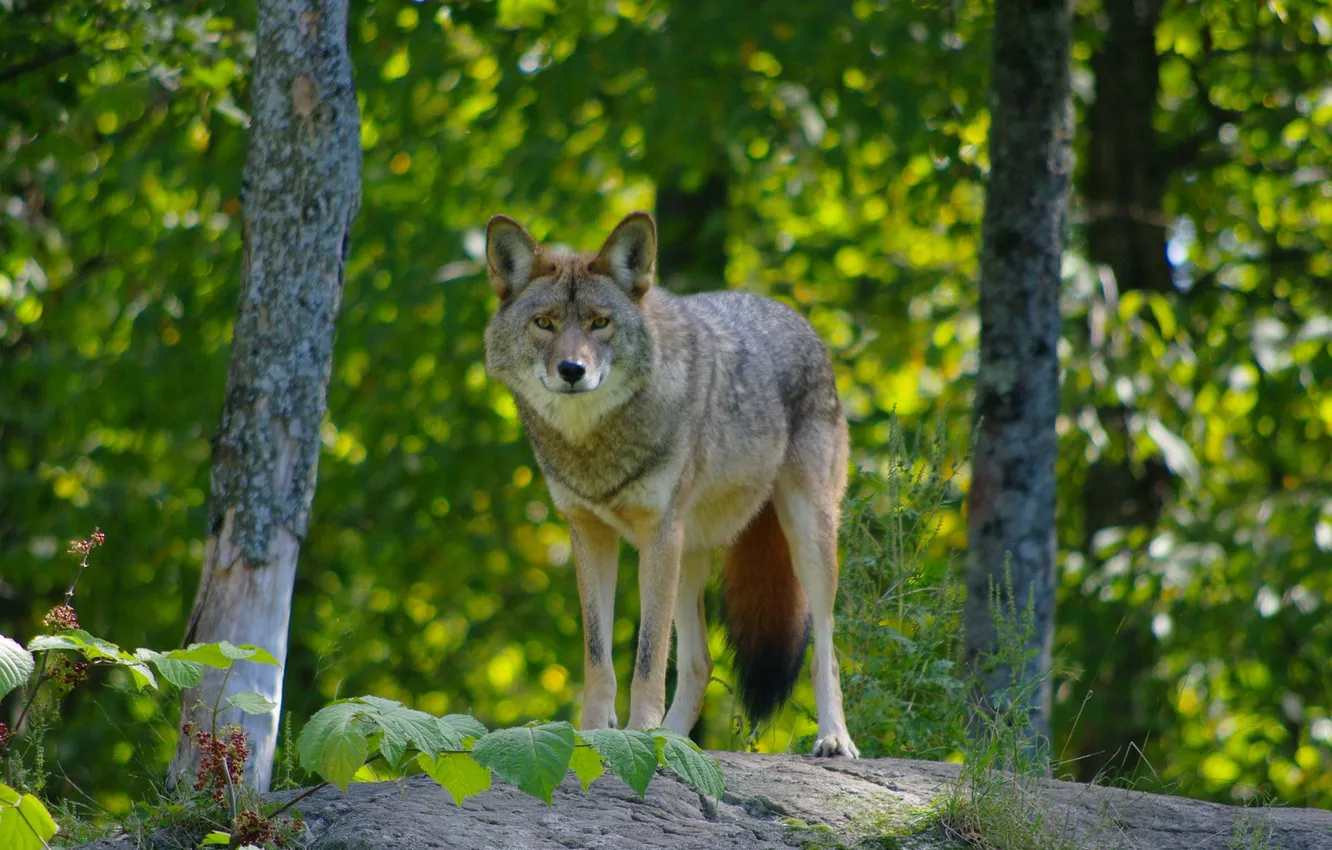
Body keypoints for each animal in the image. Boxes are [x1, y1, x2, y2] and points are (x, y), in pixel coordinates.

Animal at [483, 211, 859, 757]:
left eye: (600, 323)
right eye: (545, 323)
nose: (572, 370)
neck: (596, 443)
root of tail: (797, 319)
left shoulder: (657, 534)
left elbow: (648, 658)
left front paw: (639, 732)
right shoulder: (589, 534)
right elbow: (598, 658)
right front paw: (597, 733)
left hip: (805, 536)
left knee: (824, 650)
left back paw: (833, 738)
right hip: (689, 555)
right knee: (701, 663)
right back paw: (676, 740)